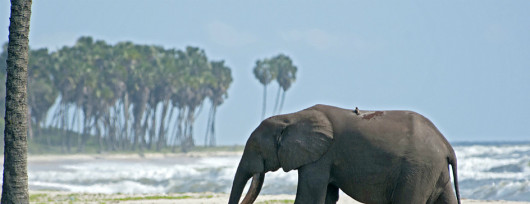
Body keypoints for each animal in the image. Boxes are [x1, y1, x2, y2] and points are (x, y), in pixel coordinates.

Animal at [227, 104, 458, 203]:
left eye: (256, 148)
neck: (291, 116)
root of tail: (447, 145)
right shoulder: (323, 159)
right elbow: (327, 196)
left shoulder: (320, 157)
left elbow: (309, 196)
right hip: (434, 171)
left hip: (418, 169)